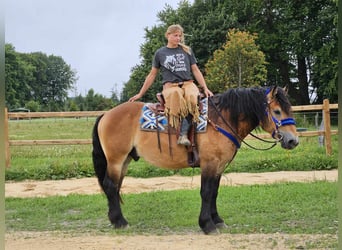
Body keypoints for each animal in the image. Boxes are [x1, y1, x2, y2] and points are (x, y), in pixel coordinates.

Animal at [92, 85, 298, 234]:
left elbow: (214, 192)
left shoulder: (219, 166)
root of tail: (106, 114)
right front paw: (207, 225)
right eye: (277, 111)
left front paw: (217, 220)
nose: (293, 140)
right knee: (110, 185)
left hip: (124, 160)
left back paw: (116, 219)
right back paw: (120, 222)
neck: (221, 121)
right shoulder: (209, 164)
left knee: (115, 187)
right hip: (116, 159)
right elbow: (206, 192)